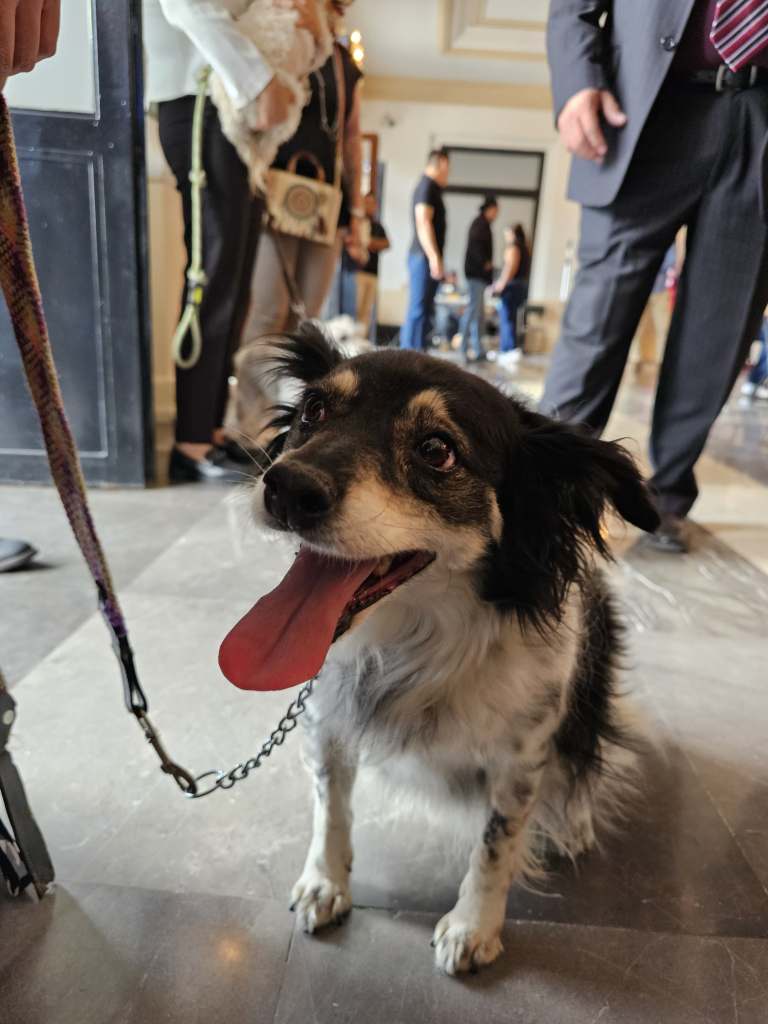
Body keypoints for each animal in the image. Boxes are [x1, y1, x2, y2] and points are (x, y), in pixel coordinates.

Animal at [219, 322, 660, 975]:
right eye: (313, 410)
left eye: (436, 450)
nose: (287, 488)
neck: (412, 646)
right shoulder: (326, 721)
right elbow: (331, 807)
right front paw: (327, 884)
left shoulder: (522, 756)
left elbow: (496, 843)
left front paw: (472, 928)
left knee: (586, 750)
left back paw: (576, 822)